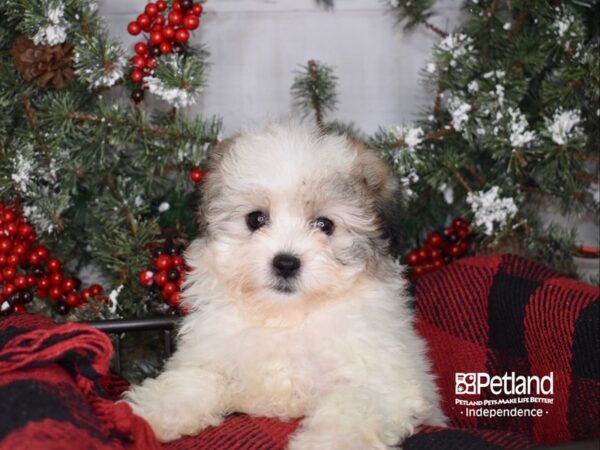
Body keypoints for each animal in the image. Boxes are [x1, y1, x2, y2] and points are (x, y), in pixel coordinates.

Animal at [125, 123, 446, 450]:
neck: (285, 318)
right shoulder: (209, 356)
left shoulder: (380, 383)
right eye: (256, 219)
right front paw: (150, 413)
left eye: (325, 225)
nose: (286, 263)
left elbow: (351, 410)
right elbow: (191, 381)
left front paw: (327, 443)